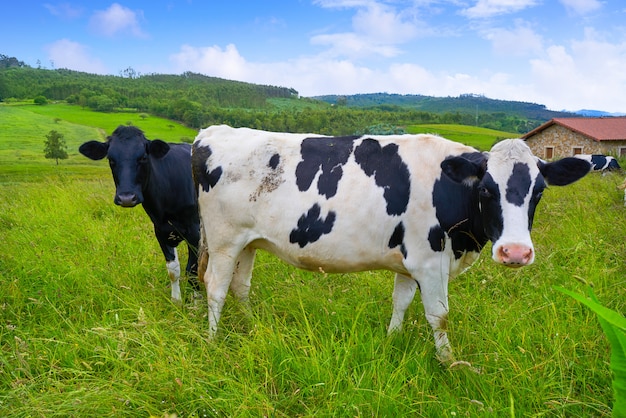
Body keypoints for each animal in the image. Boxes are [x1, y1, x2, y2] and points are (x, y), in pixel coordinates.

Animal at [79, 124, 199, 300]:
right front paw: (176, 300)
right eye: (111, 159)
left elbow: (193, 270)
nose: (126, 198)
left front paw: (196, 301)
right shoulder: (161, 230)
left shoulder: (195, 231)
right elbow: (173, 271)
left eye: (143, 157)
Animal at [191, 125, 588, 362]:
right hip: (224, 239)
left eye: (539, 192)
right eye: (487, 189)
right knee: (215, 288)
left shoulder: (410, 262)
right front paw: (450, 363)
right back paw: (211, 342)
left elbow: (401, 303)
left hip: (248, 241)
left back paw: (254, 327)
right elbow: (439, 315)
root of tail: (214, 131)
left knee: (240, 287)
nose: (515, 252)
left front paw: (391, 341)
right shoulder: (430, 262)